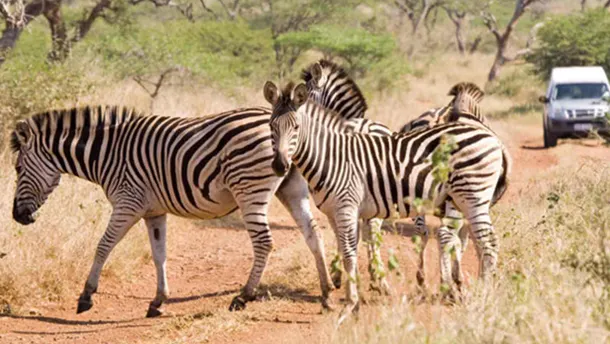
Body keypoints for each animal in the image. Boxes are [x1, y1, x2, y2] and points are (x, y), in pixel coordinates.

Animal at [9, 105, 334, 318]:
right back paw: (327, 293)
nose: (17, 217)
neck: (106, 154)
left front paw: (86, 297)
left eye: (18, 168)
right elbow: (159, 254)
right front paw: (158, 301)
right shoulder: (154, 211)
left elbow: (103, 246)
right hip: (291, 188)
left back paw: (243, 297)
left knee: (264, 242)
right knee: (313, 234)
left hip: (249, 190)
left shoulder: (127, 203)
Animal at [264, 81, 506, 322]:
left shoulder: (346, 207)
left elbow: (350, 254)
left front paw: (349, 305)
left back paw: (482, 296)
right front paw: (357, 300)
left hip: (472, 196)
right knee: (479, 242)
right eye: (271, 126)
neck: (331, 157)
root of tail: (489, 136)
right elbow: (348, 250)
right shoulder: (335, 212)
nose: (279, 166)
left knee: (488, 243)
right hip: (463, 200)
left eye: (296, 127)